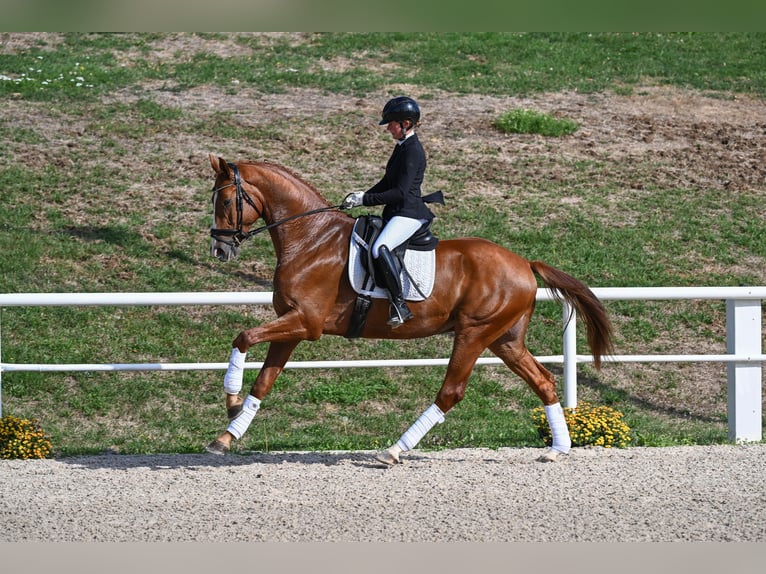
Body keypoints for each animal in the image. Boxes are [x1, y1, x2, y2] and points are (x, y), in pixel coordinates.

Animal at [205, 154, 614, 464]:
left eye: (224, 202)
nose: (219, 250)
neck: (310, 239)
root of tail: (524, 263)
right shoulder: (291, 326)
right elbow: (264, 380)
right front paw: (227, 433)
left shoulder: (306, 323)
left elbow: (243, 337)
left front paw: (230, 400)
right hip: (505, 339)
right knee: (542, 381)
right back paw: (558, 449)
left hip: (474, 333)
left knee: (451, 392)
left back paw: (394, 450)